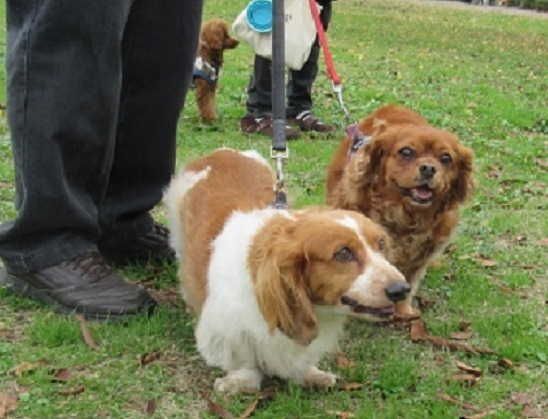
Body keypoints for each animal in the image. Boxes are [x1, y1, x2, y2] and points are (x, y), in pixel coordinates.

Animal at [165, 148, 408, 394]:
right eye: (343, 253)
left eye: (380, 244)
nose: (401, 290)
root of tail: (222, 151)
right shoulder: (225, 331)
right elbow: (243, 362)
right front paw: (240, 382)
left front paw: (311, 375)